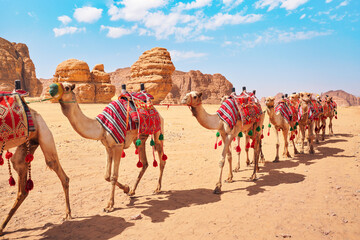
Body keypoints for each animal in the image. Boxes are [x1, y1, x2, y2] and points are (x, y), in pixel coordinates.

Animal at [0, 95, 71, 234]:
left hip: (44, 135)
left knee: (59, 172)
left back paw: (68, 214)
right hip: (26, 148)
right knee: (22, 189)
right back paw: (2, 227)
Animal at [50, 82, 167, 212]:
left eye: (66, 88)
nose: (51, 89)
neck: (101, 127)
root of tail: (156, 110)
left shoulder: (118, 146)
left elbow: (113, 176)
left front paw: (109, 205)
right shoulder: (108, 147)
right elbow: (106, 176)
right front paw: (126, 188)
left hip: (158, 131)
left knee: (161, 159)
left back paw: (157, 188)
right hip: (140, 138)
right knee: (145, 163)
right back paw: (132, 191)